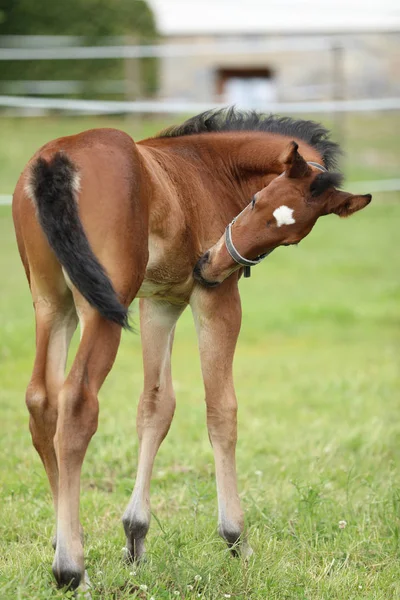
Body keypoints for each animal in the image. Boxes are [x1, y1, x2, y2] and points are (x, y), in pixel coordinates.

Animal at [10, 109, 370, 592]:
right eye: (255, 199)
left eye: (291, 237)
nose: (211, 265)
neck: (207, 167)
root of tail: (56, 159)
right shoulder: (216, 302)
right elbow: (221, 409)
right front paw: (237, 538)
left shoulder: (159, 304)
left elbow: (156, 407)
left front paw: (136, 538)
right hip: (100, 305)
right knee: (77, 402)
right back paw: (72, 569)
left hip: (52, 303)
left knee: (41, 400)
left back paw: (62, 542)